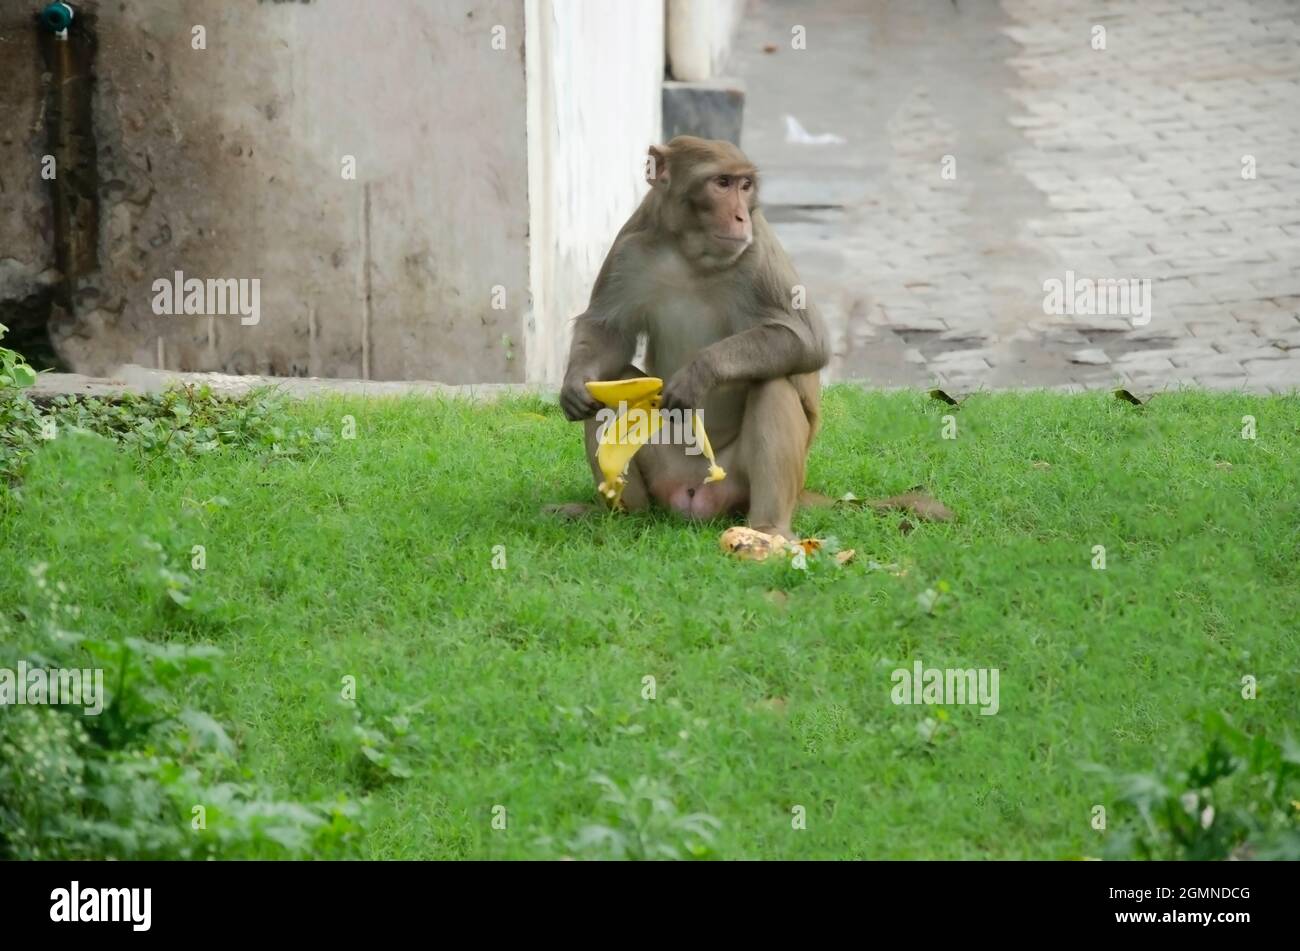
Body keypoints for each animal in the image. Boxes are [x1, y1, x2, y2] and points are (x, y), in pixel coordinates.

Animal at [558, 136, 829, 540]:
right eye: (722, 183)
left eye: (745, 186)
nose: (740, 216)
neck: (688, 252)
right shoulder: (628, 248)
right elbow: (607, 332)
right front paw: (575, 382)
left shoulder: (758, 249)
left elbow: (808, 340)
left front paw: (699, 373)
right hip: (665, 474)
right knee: (610, 387)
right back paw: (624, 518)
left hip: (735, 485)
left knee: (773, 382)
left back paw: (769, 528)